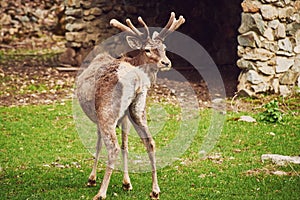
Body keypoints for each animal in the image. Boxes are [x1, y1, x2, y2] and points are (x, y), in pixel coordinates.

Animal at [75, 11, 185, 199]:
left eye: (164, 49)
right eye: (148, 49)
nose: (166, 62)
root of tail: (137, 79)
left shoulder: (100, 117)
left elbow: (99, 143)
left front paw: (92, 178)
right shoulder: (125, 117)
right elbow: (126, 145)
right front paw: (127, 183)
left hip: (107, 112)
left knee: (112, 148)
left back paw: (101, 193)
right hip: (138, 109)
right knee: (150, 141)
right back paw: (155, 190)